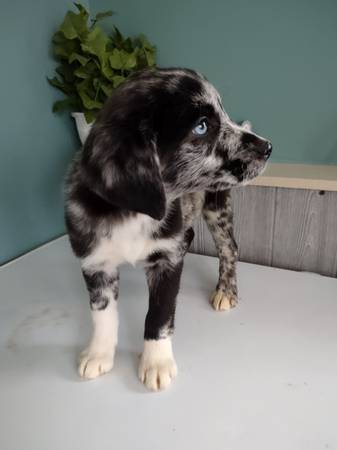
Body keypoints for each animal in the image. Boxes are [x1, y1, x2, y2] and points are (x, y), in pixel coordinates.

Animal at [65, 67, 270, 390]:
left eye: (222, 114)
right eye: (201, 127)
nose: (268, 147)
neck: (131, 214)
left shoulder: (167, 260)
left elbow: (159, 313)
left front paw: (156, 362)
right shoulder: (95, 263)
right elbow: (102, 312)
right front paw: (99, 353)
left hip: (217, 205)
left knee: (229, 248)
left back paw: (226, 290)